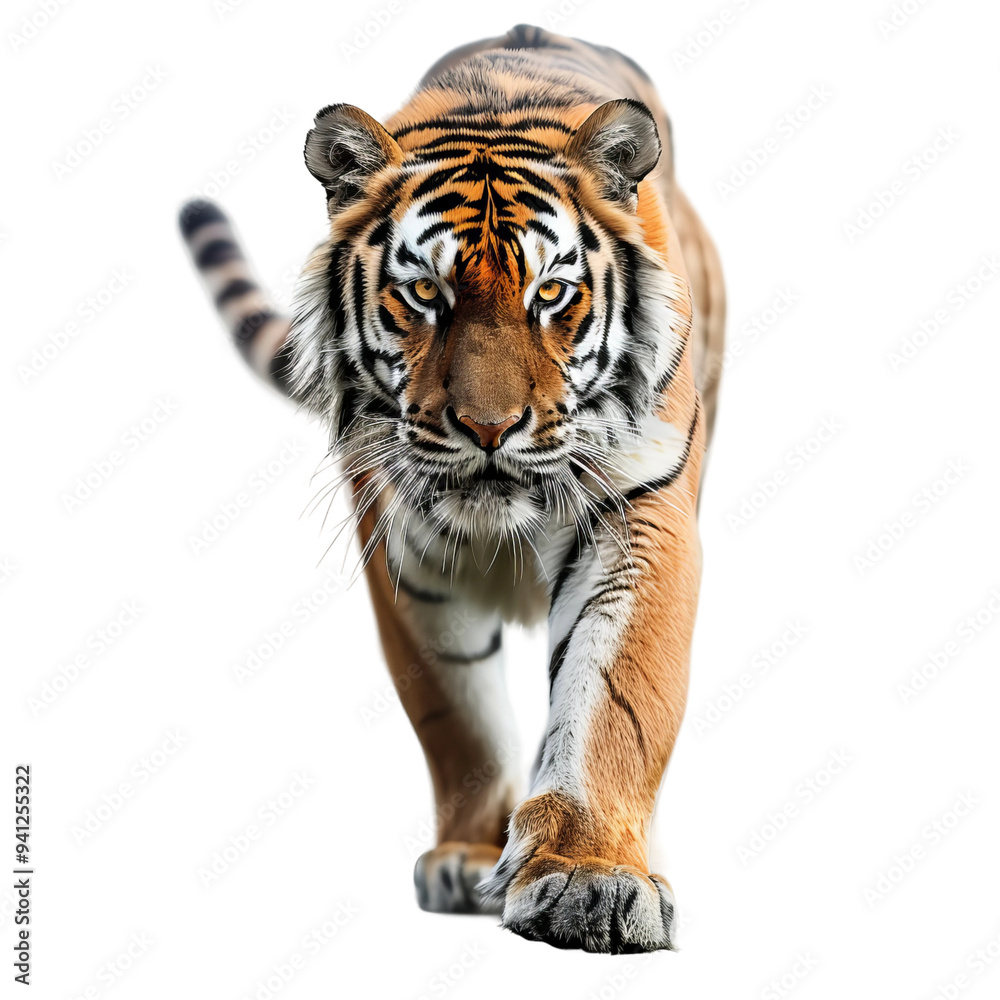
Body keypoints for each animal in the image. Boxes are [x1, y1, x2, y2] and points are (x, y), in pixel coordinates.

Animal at [180, 23, 725, 954]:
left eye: (552, 293)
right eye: (424, 294)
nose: (488, 428)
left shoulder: (640, 510)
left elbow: (616, 697)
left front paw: (593, 875)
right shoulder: (398, 546)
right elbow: (456, 716)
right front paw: (471, 854)